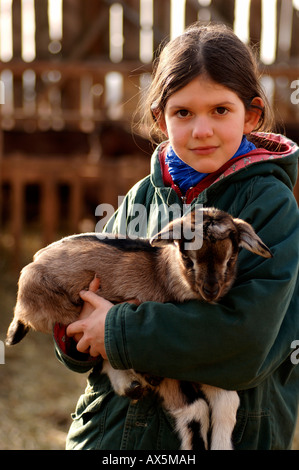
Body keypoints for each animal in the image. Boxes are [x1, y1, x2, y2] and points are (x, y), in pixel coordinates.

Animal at [5, 207, 272, 450]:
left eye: (231, 259)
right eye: (188, 258)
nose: (211, 290)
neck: (165, 274)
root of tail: (35, 260)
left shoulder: (206, 365)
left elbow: (228, 401)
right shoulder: (166, 365)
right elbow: (195, 412)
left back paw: (131, 386)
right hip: (59, 310)